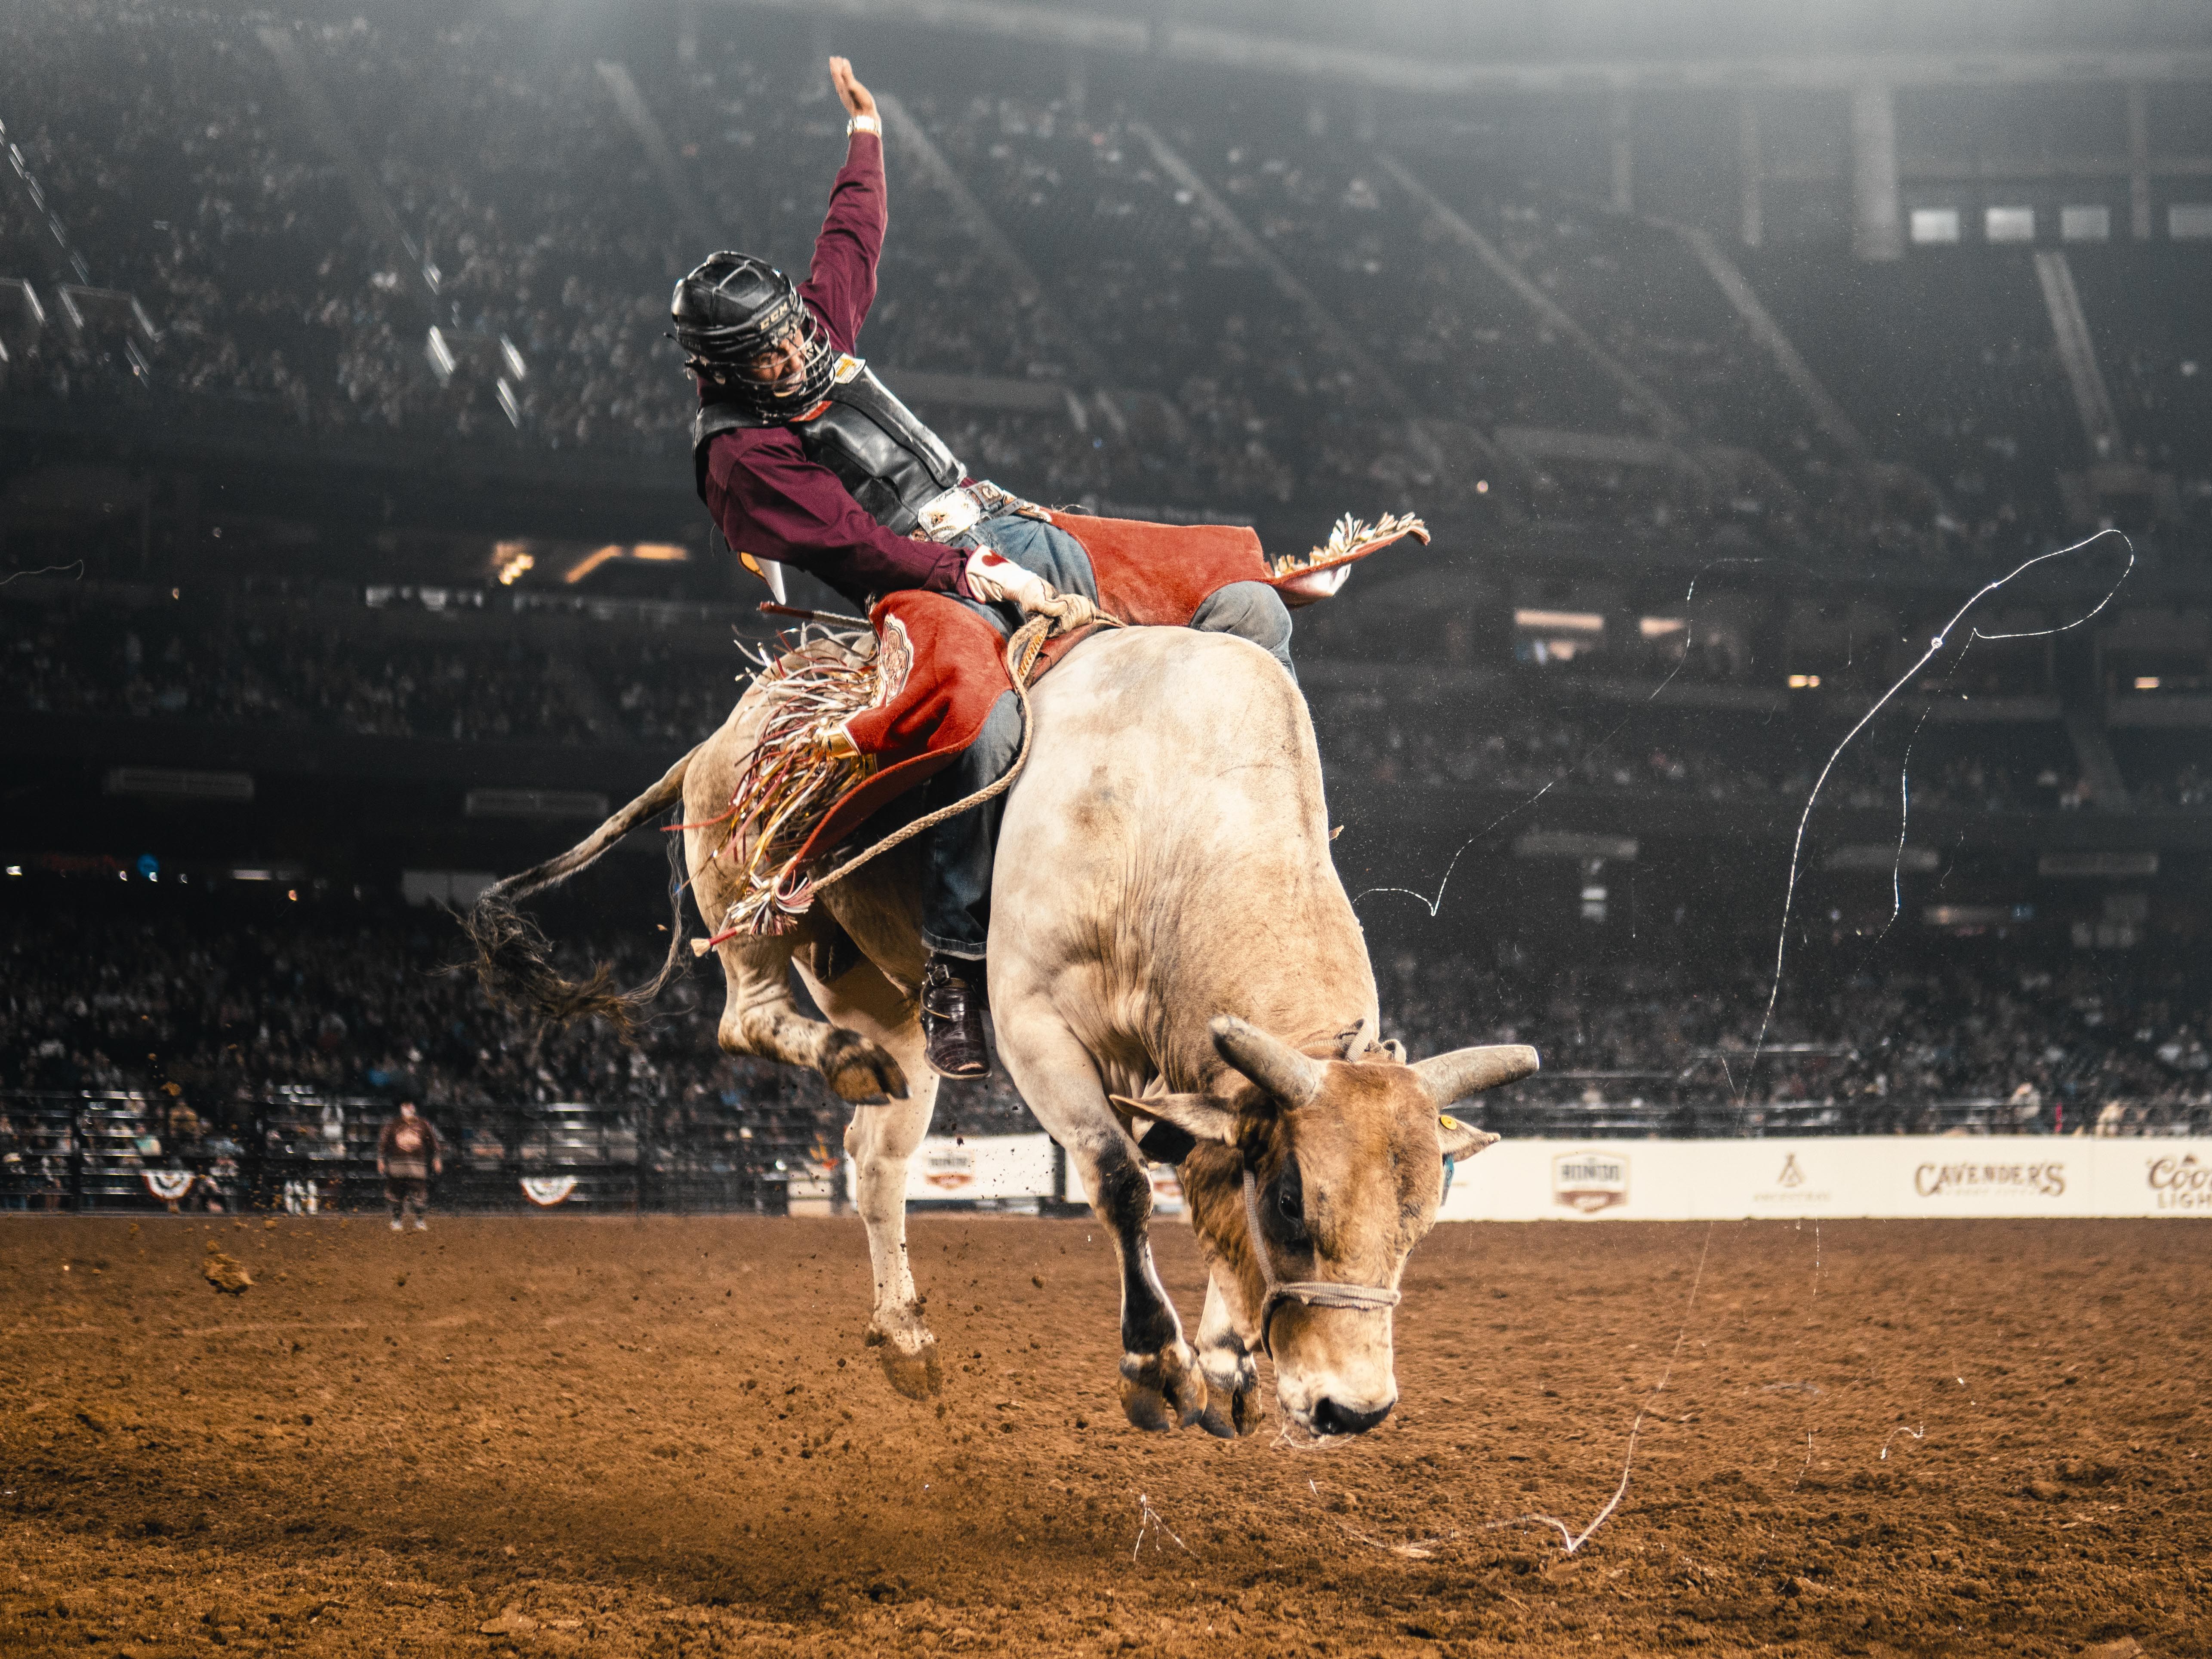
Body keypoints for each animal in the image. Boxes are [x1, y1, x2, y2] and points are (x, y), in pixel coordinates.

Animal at [467, 624, 1536, 1437]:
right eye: (1294, 1203)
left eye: (1422, 1220)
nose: (1355, 1408)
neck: (1167, 820)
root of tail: (723, 736)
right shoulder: (1035, 1027)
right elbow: (1119, 1179)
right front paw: (1157, 1361)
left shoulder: (1197, 1076)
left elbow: (1203, 1191)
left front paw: (1229, 1364)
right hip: (753, 898)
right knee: (748, 1016)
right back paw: (841, 1066)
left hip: (887, 999)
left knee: (876, 1160)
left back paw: (903, 1330)